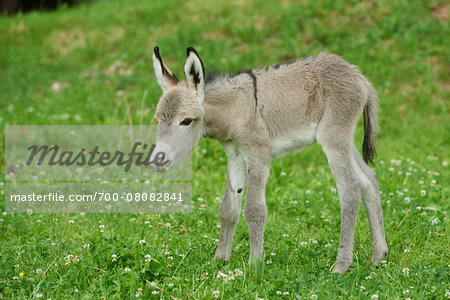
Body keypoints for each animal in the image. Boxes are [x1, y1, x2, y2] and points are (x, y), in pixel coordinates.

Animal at [151, 45, 386, 274]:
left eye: (186, 121)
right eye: (158, 120)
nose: (157, 160)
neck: (236, 109)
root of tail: (358, 75)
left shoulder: (258, 153)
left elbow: (254, 209)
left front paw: (254, 266)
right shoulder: (235, 156)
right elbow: (228, 209)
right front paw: (220, 261)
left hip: (333, 139)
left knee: (350, 192)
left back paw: (341, 266)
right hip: (344, 141)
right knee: (369, 180)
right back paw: (379, 256)